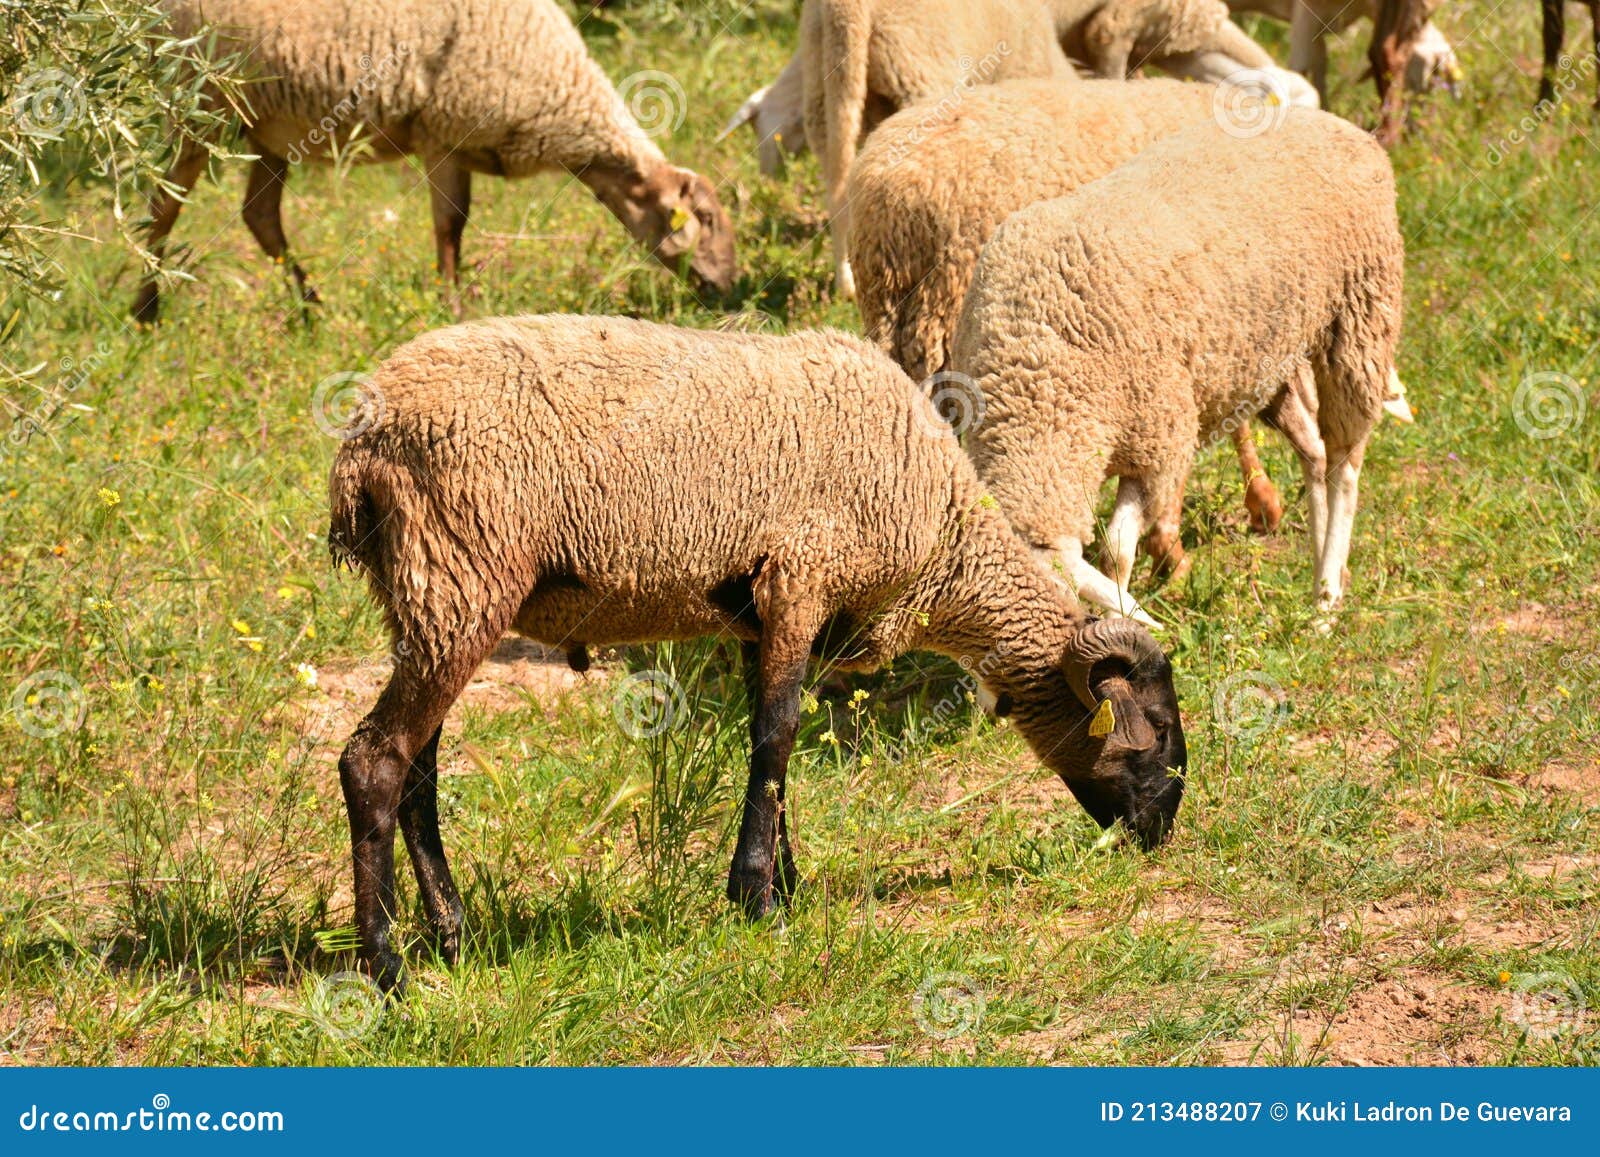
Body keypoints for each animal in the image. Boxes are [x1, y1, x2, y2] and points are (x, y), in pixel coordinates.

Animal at [134, 0, 732, 321]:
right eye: (701, 220)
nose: (729, 290)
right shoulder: (443, 135)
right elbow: (450, 225)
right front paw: (453, 309)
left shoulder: (458, 143)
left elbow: (456, 228)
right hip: (202, 105)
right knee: (163, 208)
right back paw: (146, 313)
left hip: (270, 127)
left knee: (259, 215)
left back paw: (311, 312)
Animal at [947, 111, 1401, 624]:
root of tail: (1334, 122)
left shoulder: (1157, 450)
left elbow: (1115, 555)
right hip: (1267, 362)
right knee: (1316, 455)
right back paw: (1320, 577)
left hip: (1360, 318)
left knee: (1345, 466)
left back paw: (1325, 601)